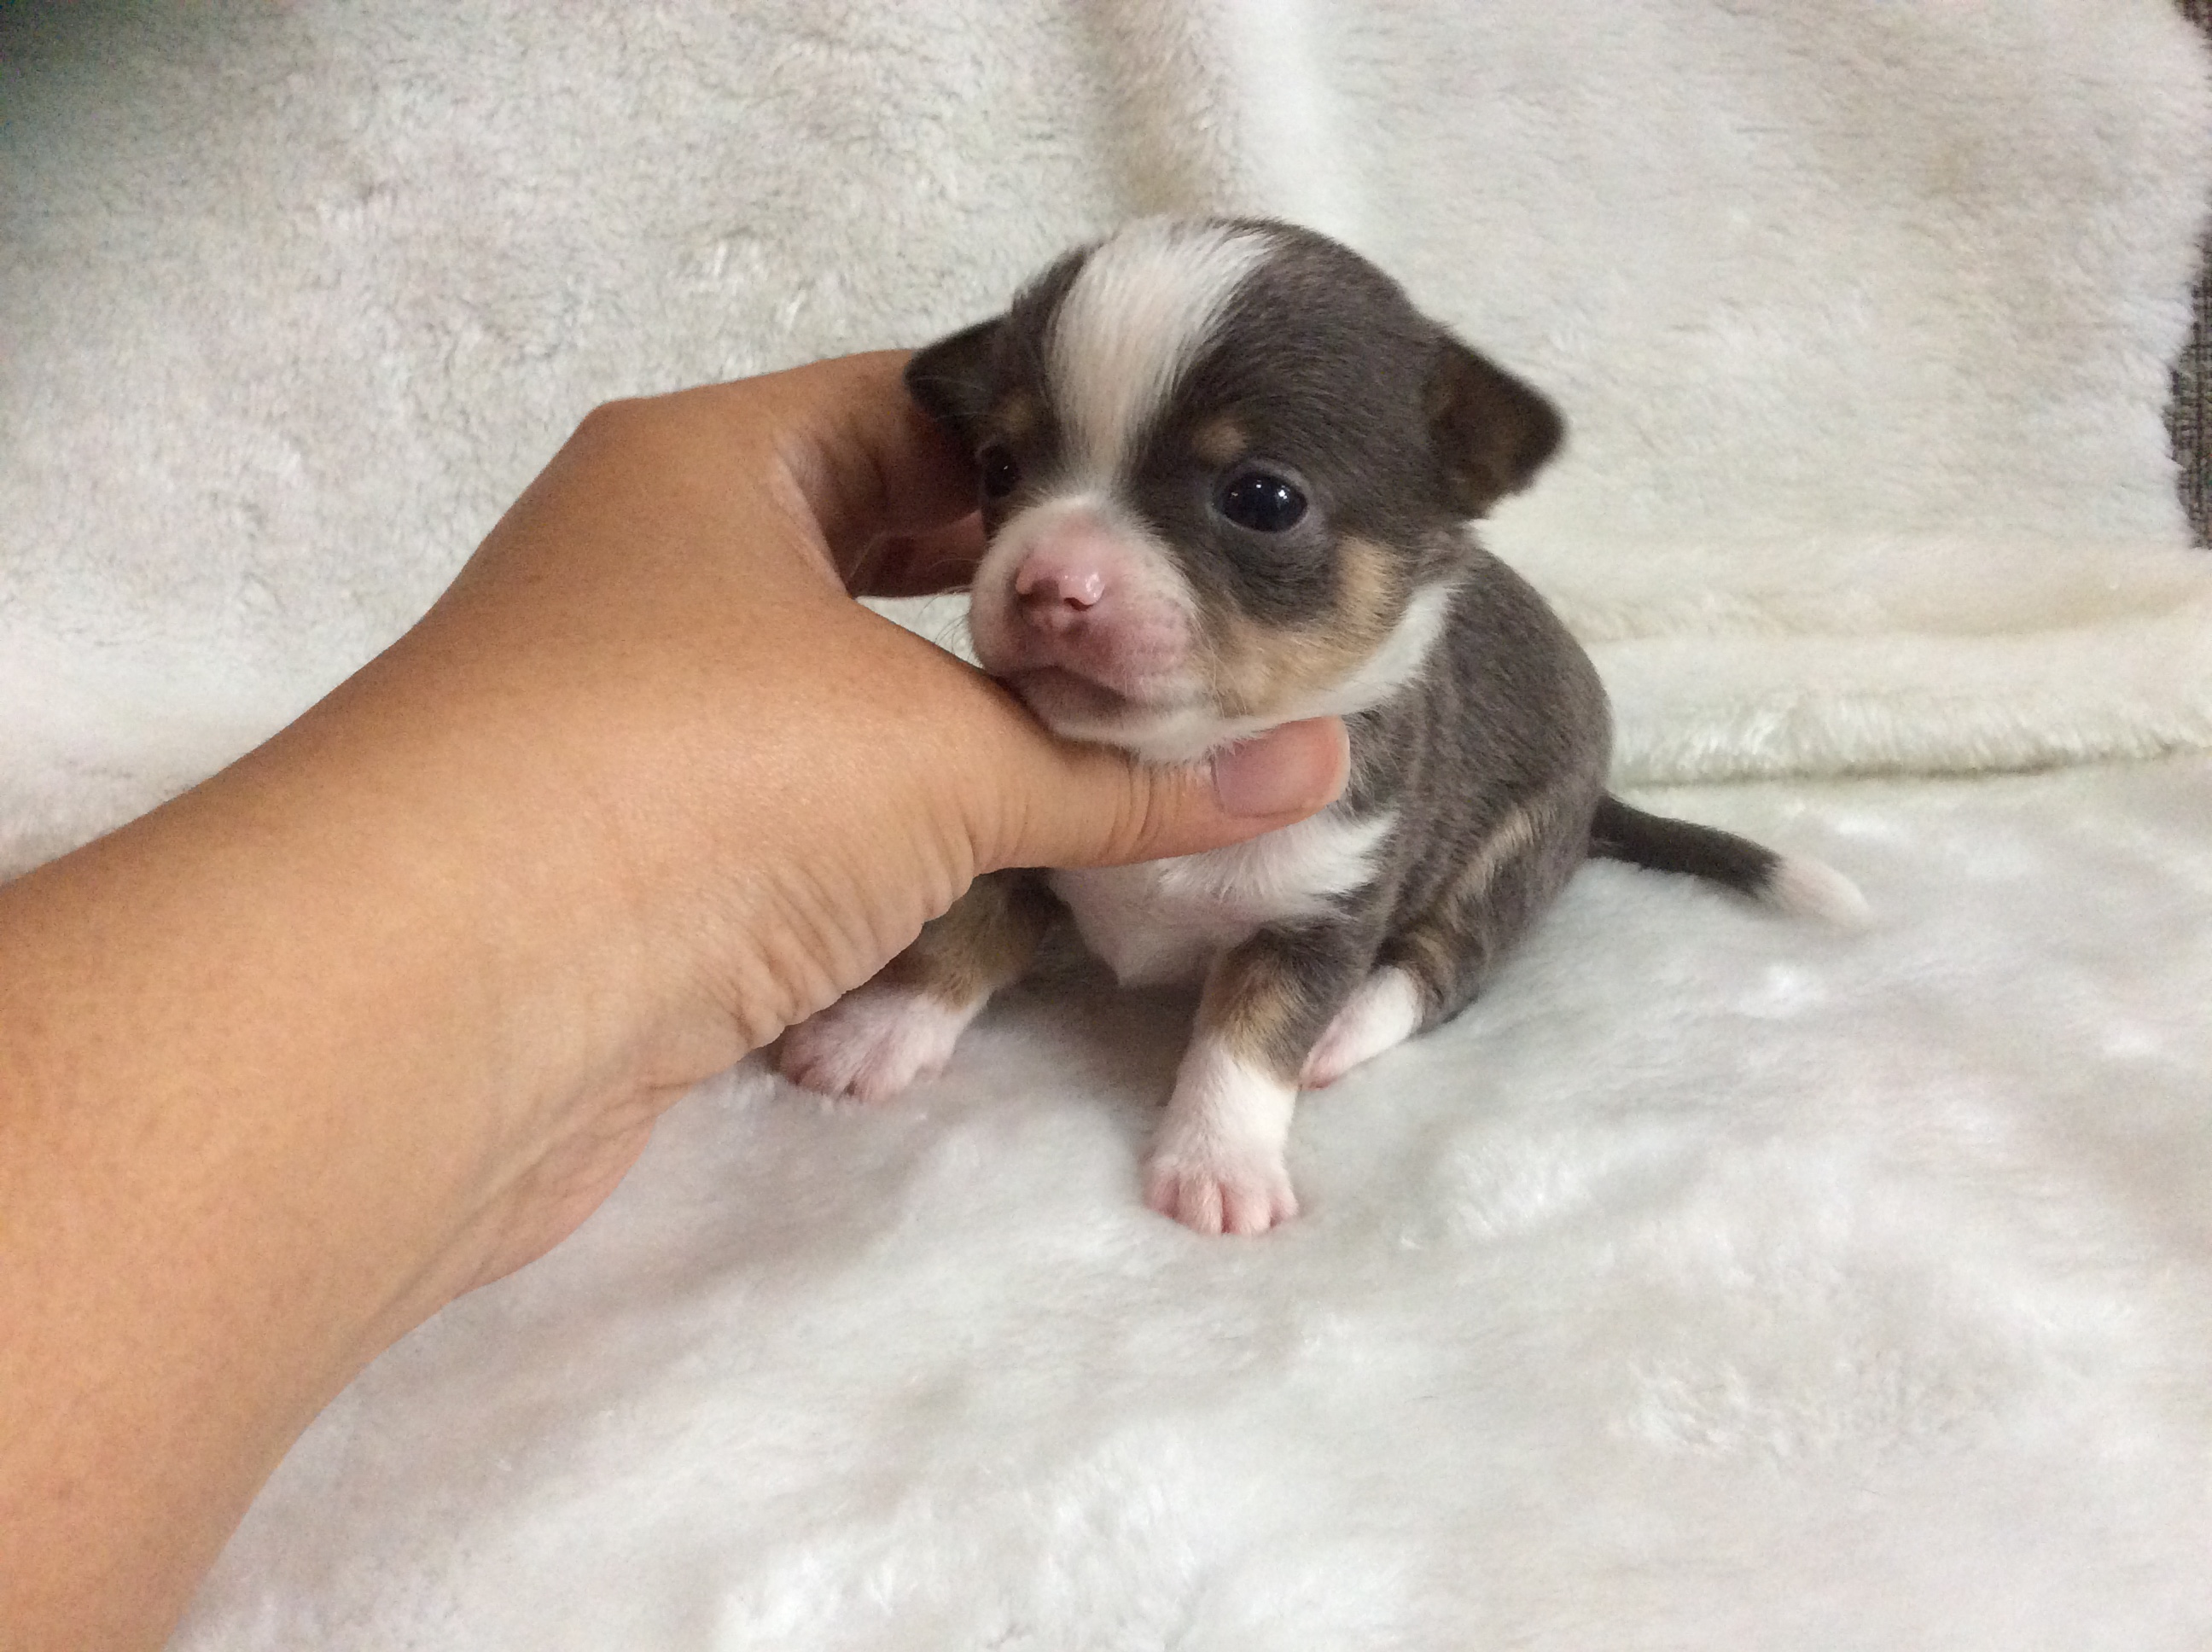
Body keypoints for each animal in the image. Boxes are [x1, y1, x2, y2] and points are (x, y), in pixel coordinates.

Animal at [779, 216, 1865, 1235]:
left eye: (1263, 499)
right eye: (999, 470)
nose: (1050, 583)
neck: (1178, 758)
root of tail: (1601, 797)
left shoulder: (1320, 913)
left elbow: (1250, 1039)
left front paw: (1218, 1161)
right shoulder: (1021, 848)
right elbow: (957, 936)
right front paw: (877, 1032)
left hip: (1516, 850)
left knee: (1447, 964)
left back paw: (1351, 1029)